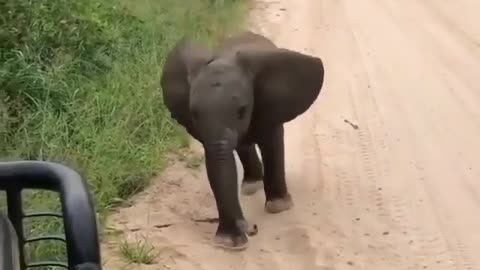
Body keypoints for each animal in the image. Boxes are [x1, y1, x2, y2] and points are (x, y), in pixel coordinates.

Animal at [159, 31, 324, 251]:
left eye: (241, 111)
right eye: (194, 114)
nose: (251, 228)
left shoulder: (270, 105)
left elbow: (272, 143)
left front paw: (279, 207)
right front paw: (230, 243)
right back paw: (251, 185)